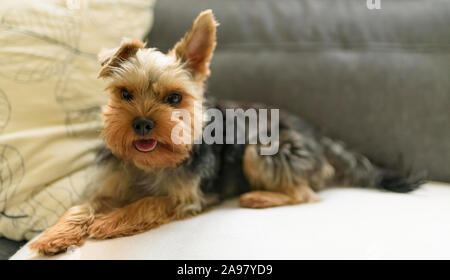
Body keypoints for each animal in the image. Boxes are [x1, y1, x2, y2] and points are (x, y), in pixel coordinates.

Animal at [29, 9, 426, 255]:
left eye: (174, 98)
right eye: (124, 94)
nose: (141, 122)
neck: (150, 164)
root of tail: (317, 133)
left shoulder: (184, 198)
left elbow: (145, 202)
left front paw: (109, 221)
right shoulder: (108, 185)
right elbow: (82, 206)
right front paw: (54, 234)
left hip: (262, 148)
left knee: (306, 192)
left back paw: (260, 197)